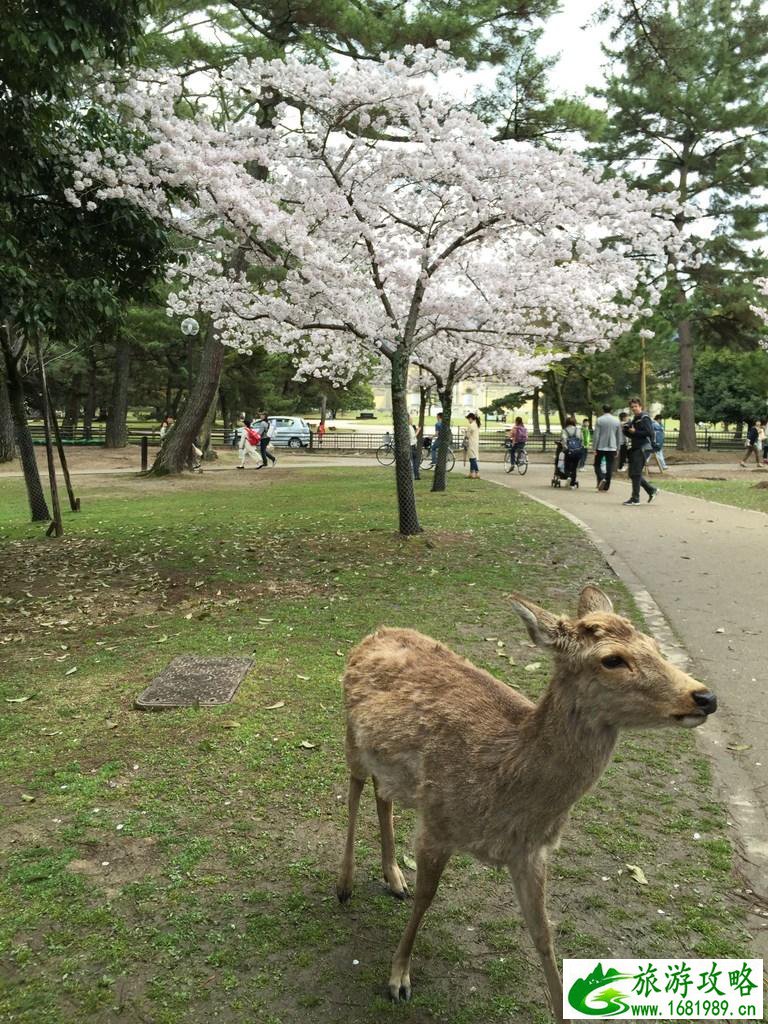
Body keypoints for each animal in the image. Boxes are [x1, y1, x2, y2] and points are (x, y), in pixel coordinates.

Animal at [337, 589, 720, 1019]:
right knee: (354, 789)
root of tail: (375, 634)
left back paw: (393, 876)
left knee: (381, 793)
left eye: (655, 646)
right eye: (612, 659)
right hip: (352, 736)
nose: (705, 697)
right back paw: (345, 884)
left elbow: (543, 933)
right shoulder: (436, 820)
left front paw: (561, 1007)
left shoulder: (531, 852)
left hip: (388, 765)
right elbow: (426, 899)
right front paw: (398, 978)